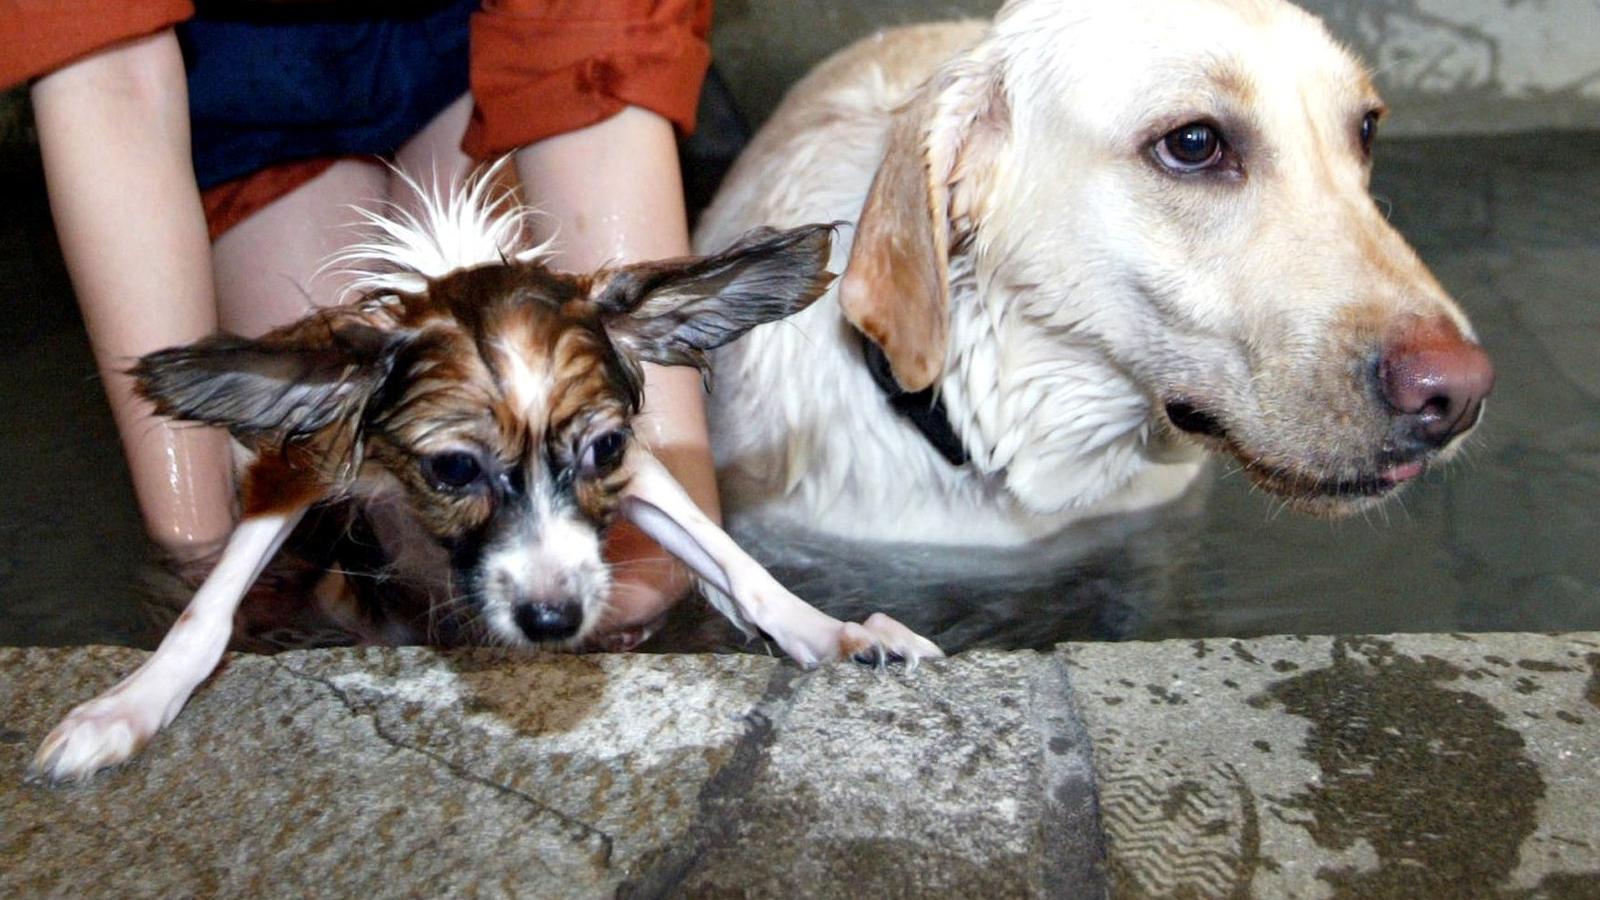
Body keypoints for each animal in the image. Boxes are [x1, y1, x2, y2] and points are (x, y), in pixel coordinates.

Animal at [34, 173, 934, 778]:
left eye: (604, 451)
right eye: (453, 468)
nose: (552, 618)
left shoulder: (637, 472)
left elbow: (737, 566)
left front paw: (832, 632)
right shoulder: (304, 460)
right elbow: (207, 612)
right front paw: (128, 706)